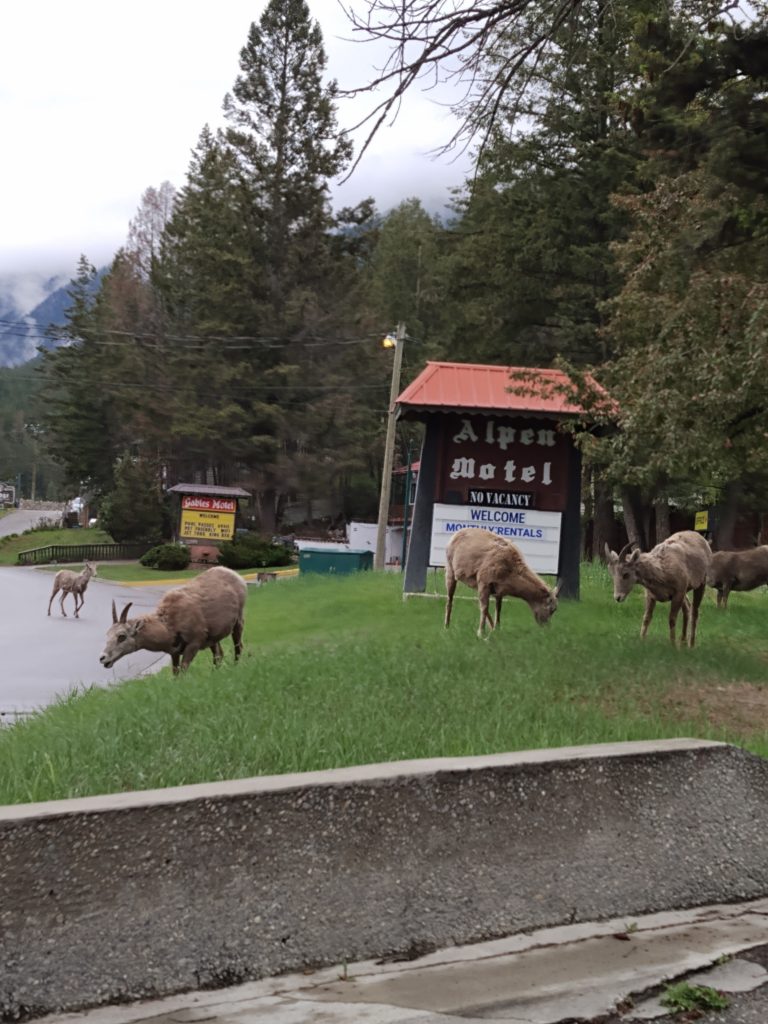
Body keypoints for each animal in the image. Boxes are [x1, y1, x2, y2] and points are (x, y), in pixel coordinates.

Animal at [100, 566, 247, 675]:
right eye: (108, 634)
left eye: (122, 636)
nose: (103, 658)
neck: (169, 626)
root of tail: (235, 575)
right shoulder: (174, 652)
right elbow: (176, 673)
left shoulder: (194, 643)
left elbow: (183, 670)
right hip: (213, 638)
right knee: (218, 655)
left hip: (238, 622)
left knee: (238, 646)